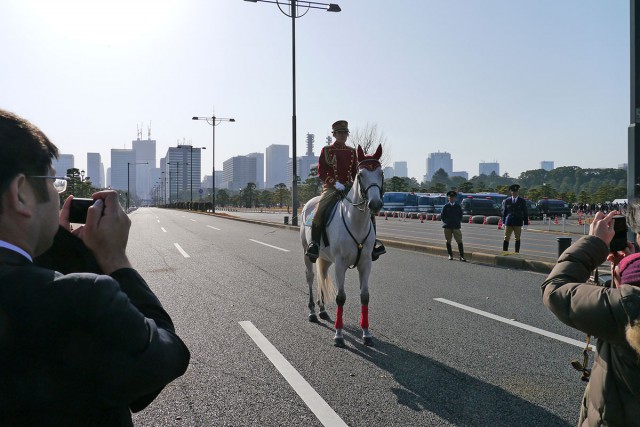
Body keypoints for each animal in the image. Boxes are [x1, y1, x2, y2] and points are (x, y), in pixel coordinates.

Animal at [300, 144, 384, 347]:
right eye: (361, 174)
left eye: (381, 173)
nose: (375, 204)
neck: (356, 221)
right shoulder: (340, 263)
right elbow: (341, 297)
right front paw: (338, 335)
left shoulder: (365, 264)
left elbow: (365, 296)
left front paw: (366, 333)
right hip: (308, 253)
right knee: (311, 277)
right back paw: (312, 312)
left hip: (325, 258)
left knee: (322, 276)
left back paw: (322, 310)